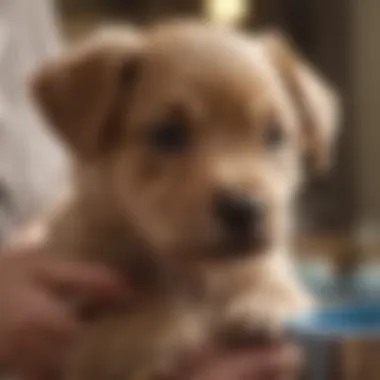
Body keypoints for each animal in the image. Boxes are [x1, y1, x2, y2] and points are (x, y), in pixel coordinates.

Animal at [26, 20, 340, 380]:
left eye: (275, 135)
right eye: (168, 133)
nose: (244, 208)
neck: (192, 271)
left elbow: (278, 286)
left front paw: (267, 303)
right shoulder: (79, 329)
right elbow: (118, 326)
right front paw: (159, 329)